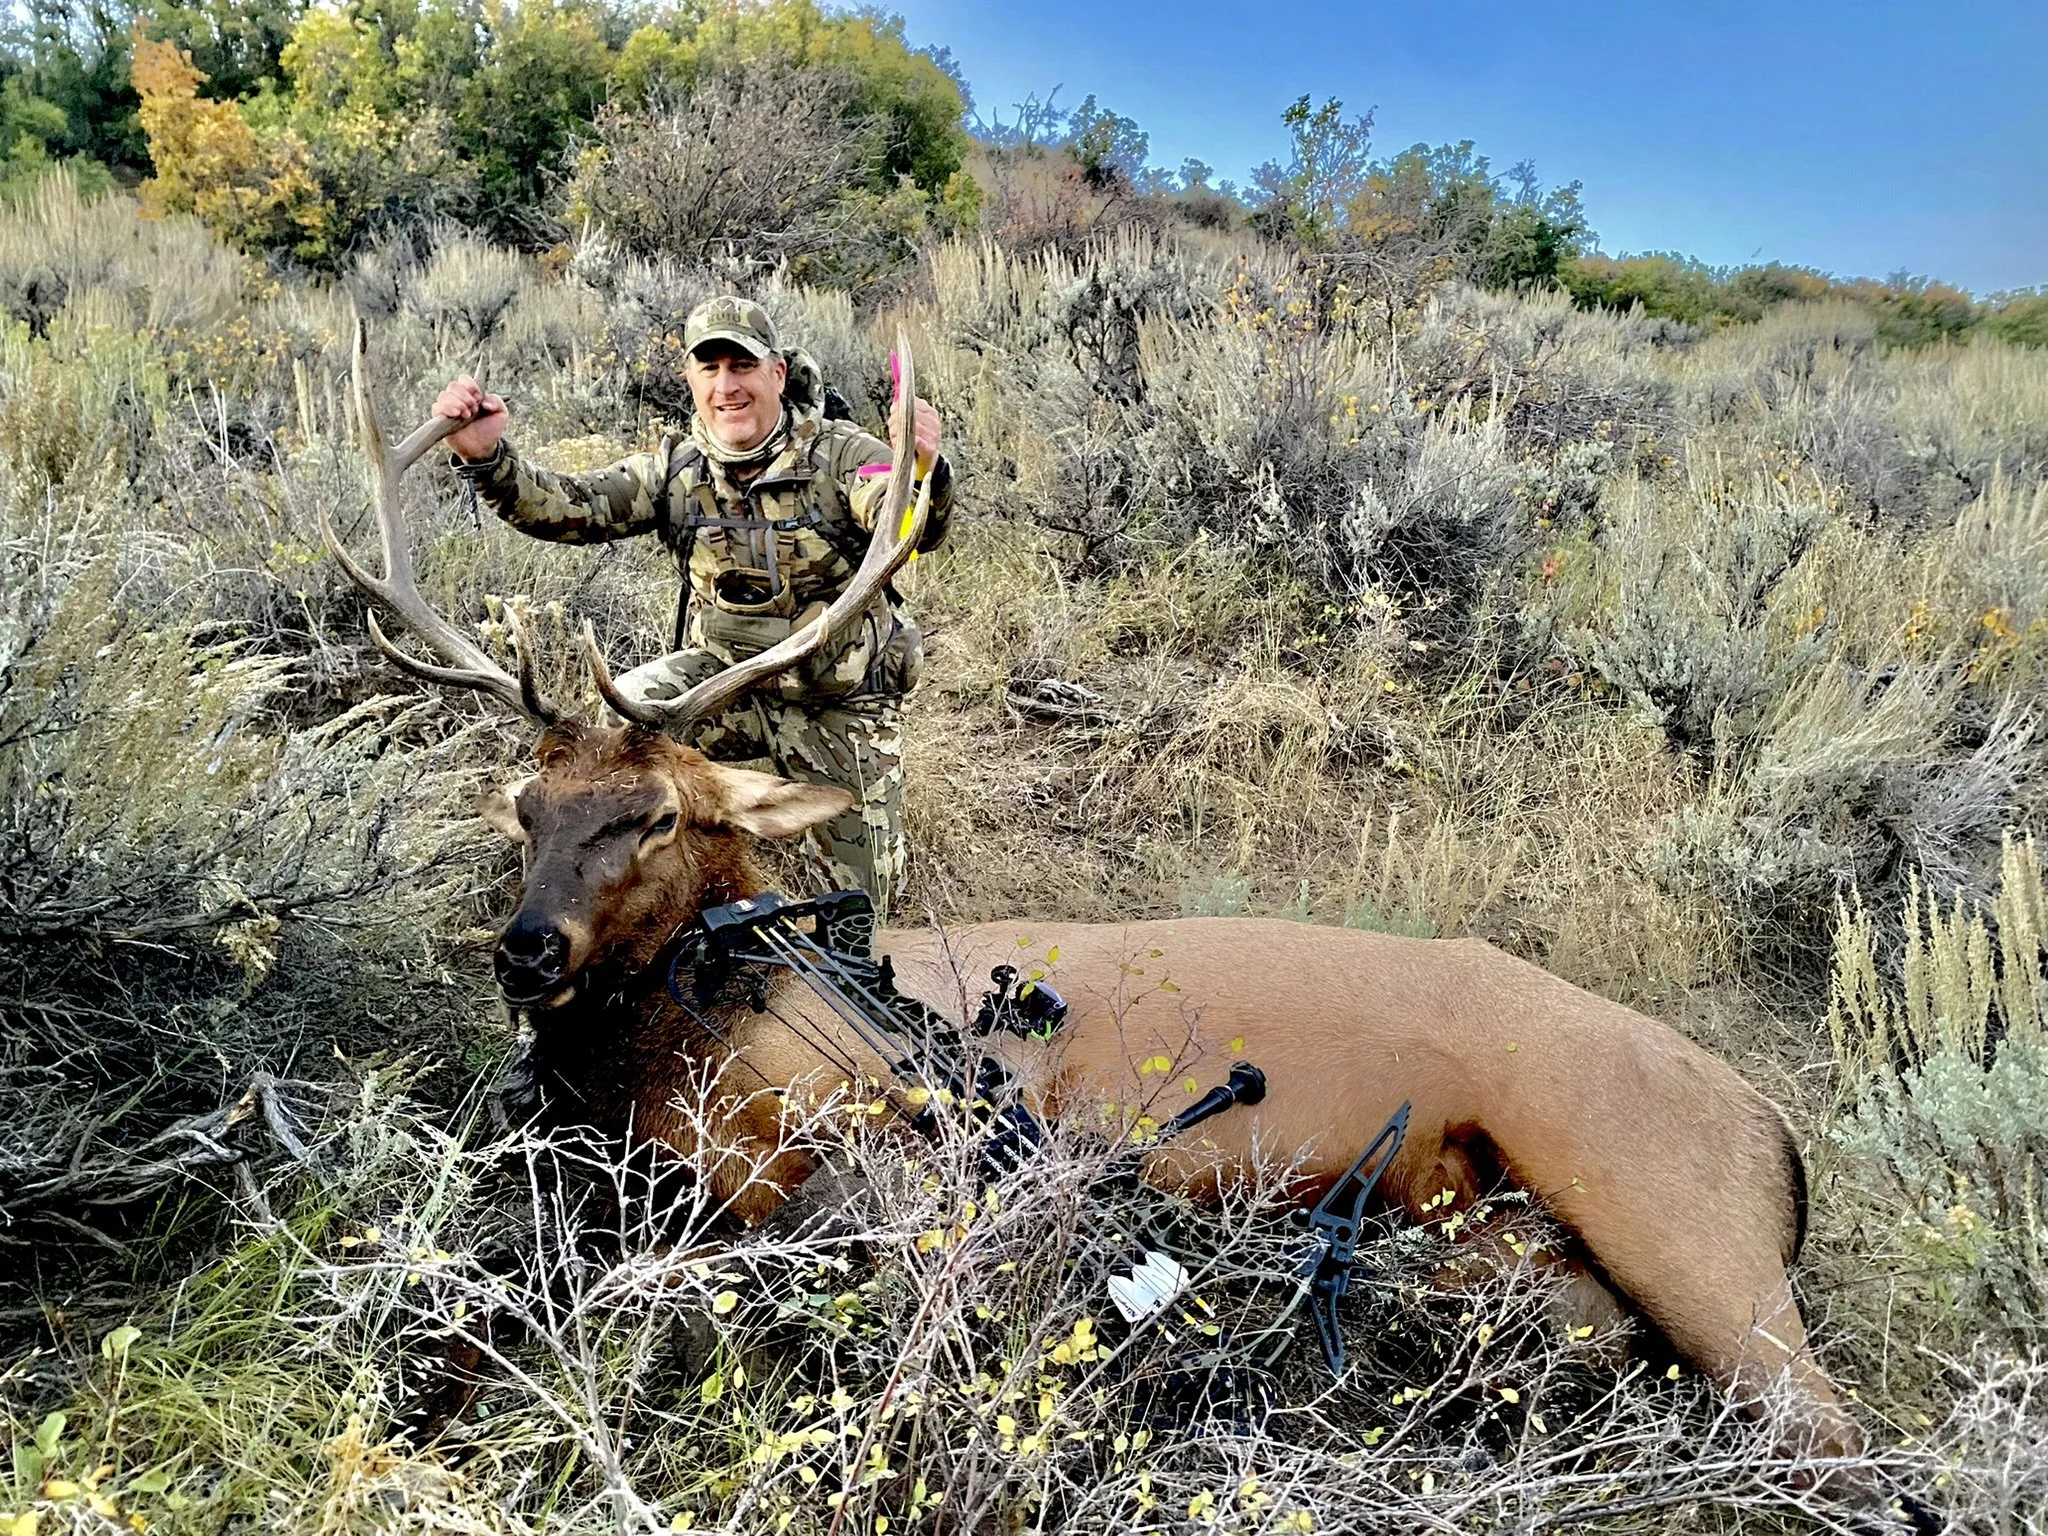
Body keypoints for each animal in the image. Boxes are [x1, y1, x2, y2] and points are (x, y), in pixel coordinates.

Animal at [320, 320, 1928, 1530]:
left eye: (656, 814)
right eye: (524, 807)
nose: (525, 950)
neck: (694, 1033)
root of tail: (1779, 1137)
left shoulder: (875, 1181)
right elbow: (458, 1333)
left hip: (1677, 1218)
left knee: (1847, 1450)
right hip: (1530, 1256)